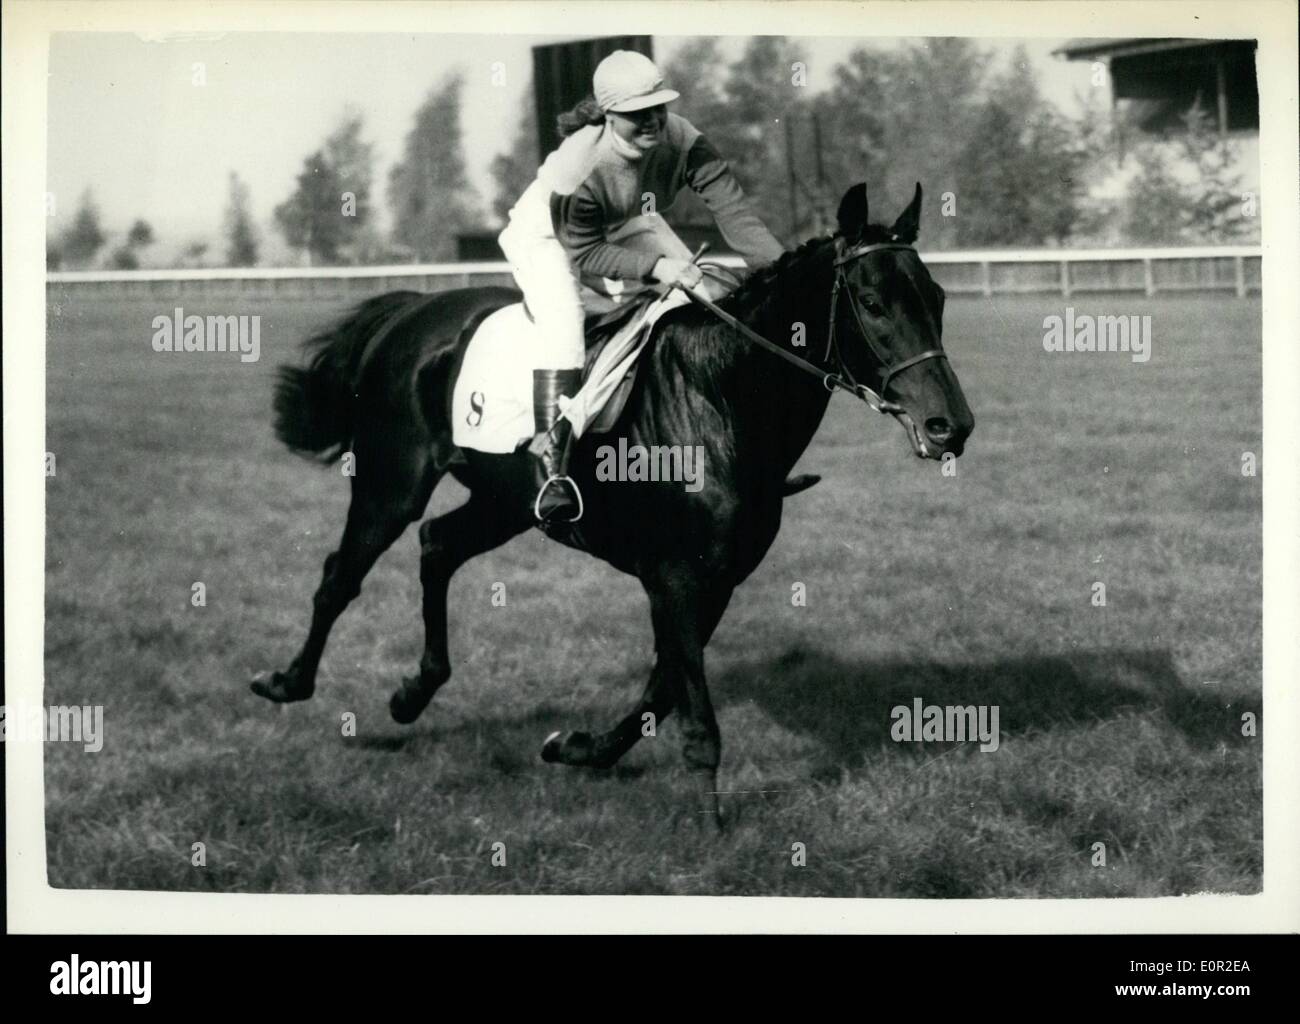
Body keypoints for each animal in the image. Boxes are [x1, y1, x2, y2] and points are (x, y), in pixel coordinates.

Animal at [250, 181, 967, 826]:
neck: (718, 398)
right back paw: (287, 681)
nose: (951, 425)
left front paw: (577, 747)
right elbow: (690, 704)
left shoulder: (718, 578)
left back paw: (412, 692)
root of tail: (410, 311)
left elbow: (662, 689)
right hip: (390, 481)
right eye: (872, 302)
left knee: (438, 546)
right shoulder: (674, 576)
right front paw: (713, 830)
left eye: (935, 297)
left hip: (507, 501)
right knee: (342, 575)